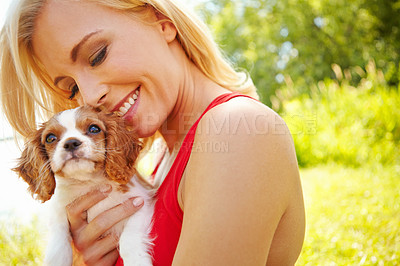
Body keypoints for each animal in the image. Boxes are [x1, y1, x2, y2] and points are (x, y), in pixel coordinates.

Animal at [13, 106, 154, 266]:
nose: (71, 143)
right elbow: (58, 245)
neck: (88, 183)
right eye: (50, 138)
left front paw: (137, 260)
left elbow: (129, 240)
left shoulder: (140, 202)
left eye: (94, 129)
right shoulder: (59, 212)